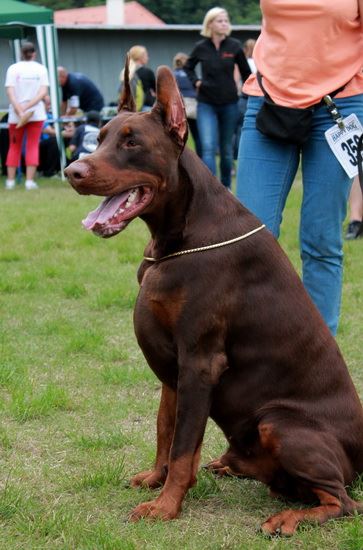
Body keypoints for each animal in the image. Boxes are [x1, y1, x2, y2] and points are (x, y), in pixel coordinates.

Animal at [65, 61, 363, 540]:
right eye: (102, 135)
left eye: (132, 142)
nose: (72, 170)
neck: (174, 239)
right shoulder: (174, 368)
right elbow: (166, 429)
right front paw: (156, 479)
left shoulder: (201, 361)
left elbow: (184, 446)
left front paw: (165, 507)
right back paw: (231, 466)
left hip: (279, 422)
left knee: (343, 501)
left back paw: (288, 518)